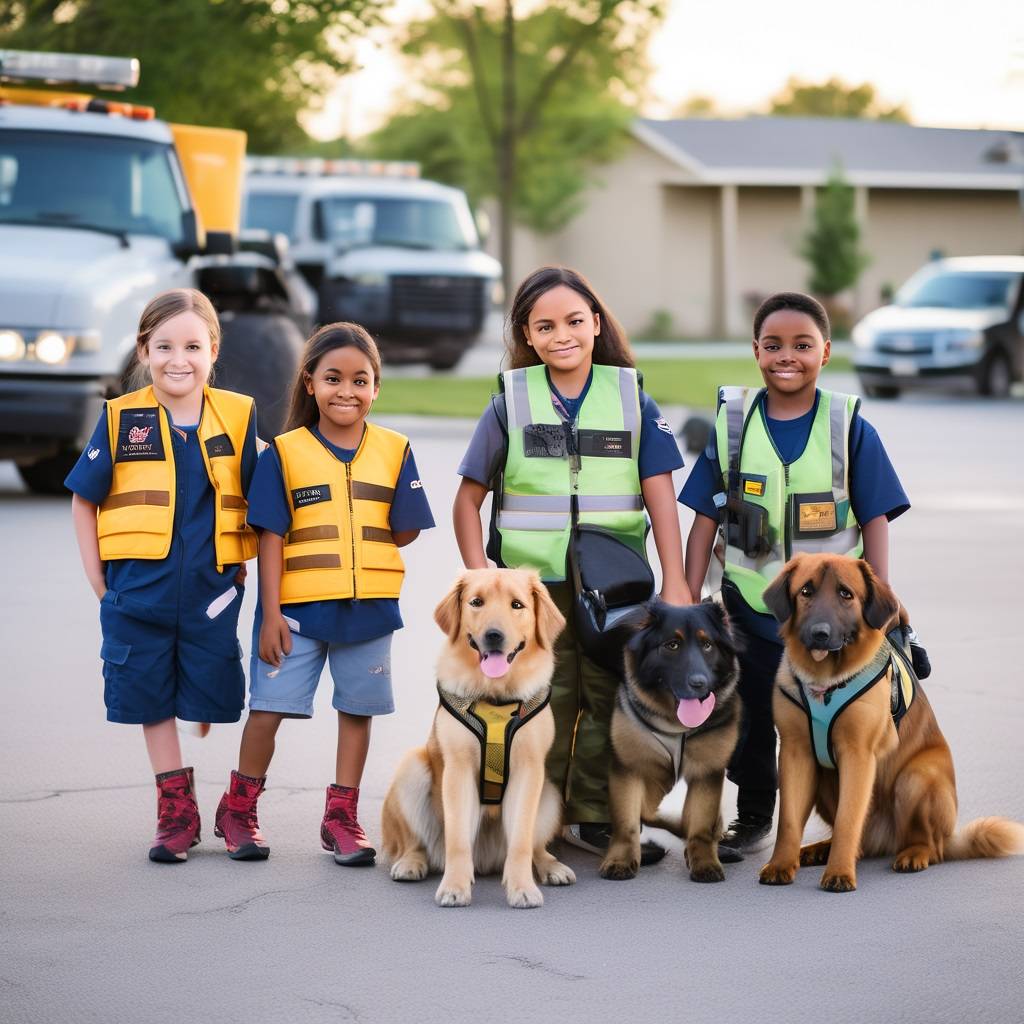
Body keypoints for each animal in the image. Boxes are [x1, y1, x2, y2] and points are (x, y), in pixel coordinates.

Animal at [382, 569, 581, 913]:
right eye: (476, 602)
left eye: (517, 605)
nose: (494, 635)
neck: (496, 696)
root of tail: (487, 859)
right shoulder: (459, 770)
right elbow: (458, 841)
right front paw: (454, 887)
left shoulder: (528, 770)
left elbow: (521, 842)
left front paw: (522, 888)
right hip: (411, 767)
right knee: (417, 842)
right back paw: (411, 862)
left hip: (550, 792)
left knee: (535, 846)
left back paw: (552, 866)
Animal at [598, 602, 737, 884]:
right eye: (672, 645)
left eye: (708, 645)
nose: (699, 684)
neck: (677, 726)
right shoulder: (629, 767)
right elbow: (630, 820)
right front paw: (621, 860)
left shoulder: (707, 771)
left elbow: (701, 823)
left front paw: (704, 861)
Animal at [761, 548, 1024, 892]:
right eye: (806, 591)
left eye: (846, 594)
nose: (820, 634)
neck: (825, 683)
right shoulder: (796, 754)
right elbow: (789, 821)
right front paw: (781, 864)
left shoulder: (858, 755)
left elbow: (848, 819)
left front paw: (840, 872)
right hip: (824, 779)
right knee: (861, 843)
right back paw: (822, 849)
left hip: (915, 778)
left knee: (930, 845)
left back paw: (914, 853)